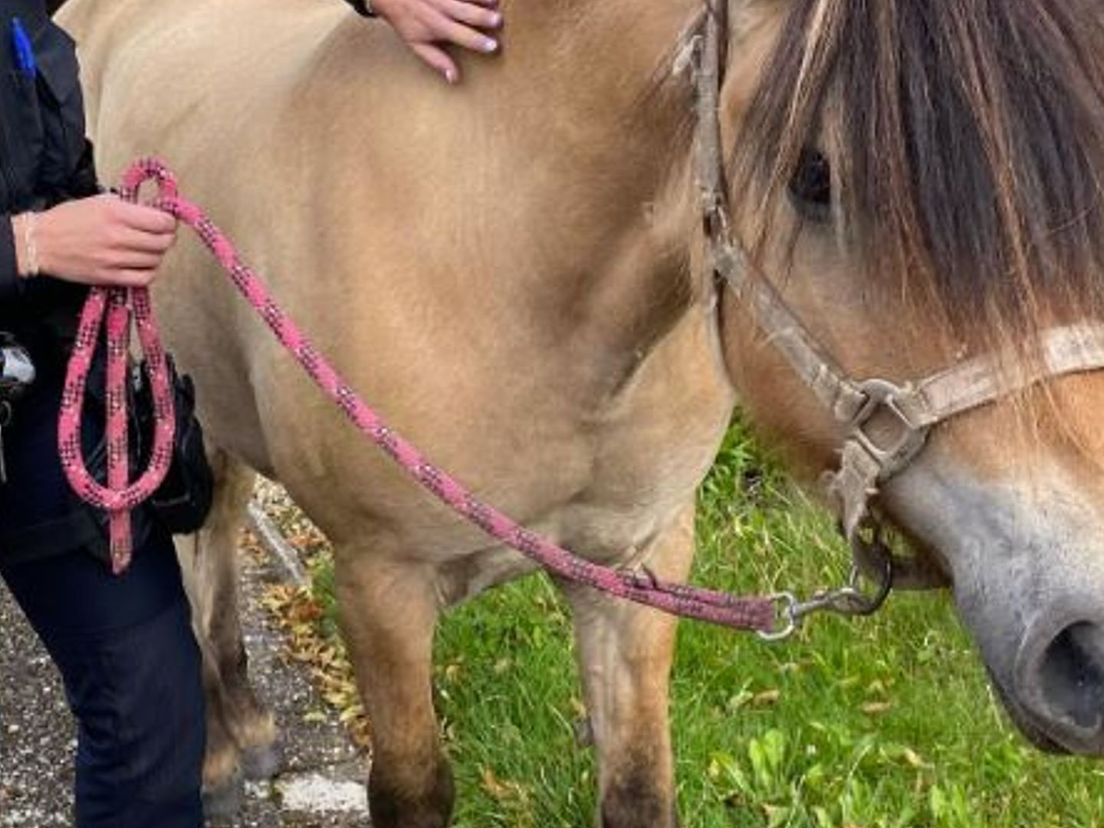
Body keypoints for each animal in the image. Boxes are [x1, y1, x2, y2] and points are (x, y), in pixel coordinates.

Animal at [59, 0, 1104, 825]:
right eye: (814, 177)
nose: (1085, 641)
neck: (504, 264)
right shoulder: (381, 586)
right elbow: (413, 787)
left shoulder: (636, 571)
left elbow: (639, 786)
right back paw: (218, 756)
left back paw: (244, 726)